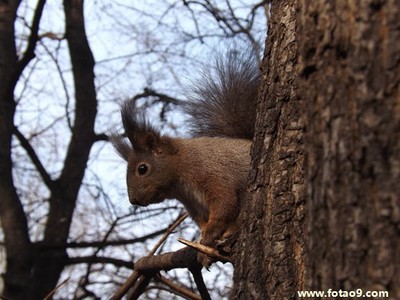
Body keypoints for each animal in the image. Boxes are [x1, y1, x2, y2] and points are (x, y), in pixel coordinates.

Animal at [113, 48, 262, 266]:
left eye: (142, 168)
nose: (133, 200)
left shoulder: (213, 175)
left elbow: (224, 204)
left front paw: (208, 238)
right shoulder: (193, 205)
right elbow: (203, 221)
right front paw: (202, 246)